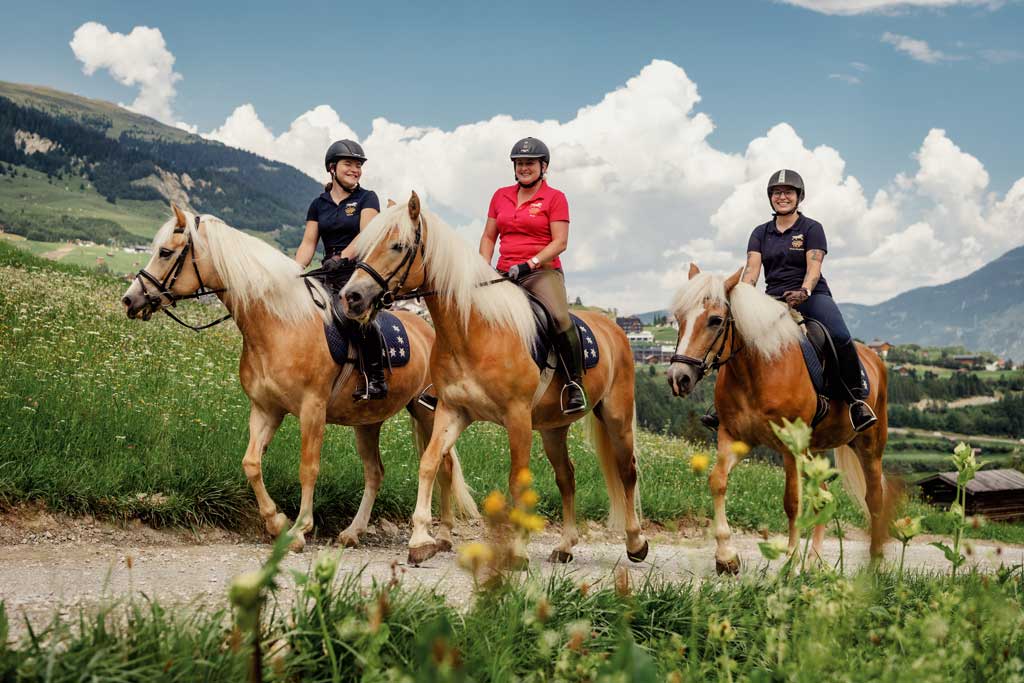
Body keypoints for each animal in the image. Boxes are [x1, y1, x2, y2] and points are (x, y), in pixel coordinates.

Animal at [117, 205, 477, 552]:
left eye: (165, 252)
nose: (130, 299)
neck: (280, 324)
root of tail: (430, 332)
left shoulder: (311, 410)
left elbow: (308, 468)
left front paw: (300, 529)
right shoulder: (266, 409)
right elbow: (251, 462)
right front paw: (276, 521)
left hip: (430, 411)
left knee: (443, 467)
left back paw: (442, 534)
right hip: (368, 421)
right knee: (376, 472)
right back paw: (353, 532)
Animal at [342, 191, 647, 565]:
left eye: (398, 246)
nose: (352, 297)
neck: (474, 331)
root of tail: (613, 328)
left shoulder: (517, 417)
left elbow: (518, 480)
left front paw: (517, 550)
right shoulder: (452, 410)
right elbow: (430, 463)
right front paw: (420, 539)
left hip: (616, 416)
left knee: (627, 471)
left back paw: (636, 542)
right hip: (554, 428)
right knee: (567, 477)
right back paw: (565, 545)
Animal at [663, 264, 888, 573]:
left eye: (715, 320)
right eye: (679, 319)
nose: (679, 378)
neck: (759, 367)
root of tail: (875, 359)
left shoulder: (789, 448)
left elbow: (792, 501)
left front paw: (790, 562)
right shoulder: (734, 437)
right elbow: (718, 480)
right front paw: (726, 556)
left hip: (868, 446)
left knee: (874, 499)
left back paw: (874, 565)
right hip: (812, 450)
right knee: (824, 495)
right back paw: (815, 561)